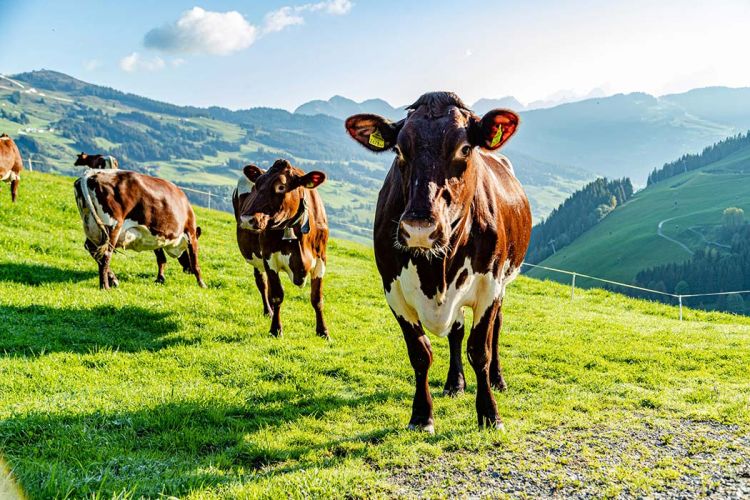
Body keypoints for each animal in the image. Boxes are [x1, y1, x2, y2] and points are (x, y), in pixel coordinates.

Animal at [73, 170, 206, 290]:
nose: (187, 270)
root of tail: (92, 173)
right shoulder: (191, 233)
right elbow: (195, 263)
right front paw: (202, 284)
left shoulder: (156, 236)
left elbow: (161, 259)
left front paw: (160, 278)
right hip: (112, 226)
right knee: (106, 255)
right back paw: (105, 286)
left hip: (92, 227)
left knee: (93, 249)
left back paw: (113, 280)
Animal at [232, 159, 329, 339]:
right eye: (257, 184)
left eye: (281, 187)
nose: (247, 219)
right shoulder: (269, 258)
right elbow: (277, 296)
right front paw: (276, 329)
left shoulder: (321, 261)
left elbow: (317, 299)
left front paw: (323, 331)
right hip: (256, 257)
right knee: (262, 283)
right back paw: (268, 311)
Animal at [345, 92, 532, 432]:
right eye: (398, 150)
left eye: (465, 148)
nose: (419, 227)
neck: (436, 269)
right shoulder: (393, 290)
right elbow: (421, 353)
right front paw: (421, 415)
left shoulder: (489, 286)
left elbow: (480, 350)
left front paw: (490, 414)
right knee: (456, 331)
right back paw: (454, 383)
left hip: (504, 282)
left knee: (496, 327)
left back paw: (497, 379)